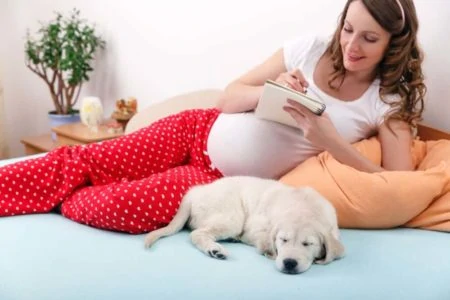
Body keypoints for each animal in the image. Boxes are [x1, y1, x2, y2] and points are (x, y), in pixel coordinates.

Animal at [144, 176, 344, 274]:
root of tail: (196, 191)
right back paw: (215, 250)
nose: (289, 263)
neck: (304, 207)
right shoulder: (256, 229)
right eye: (283, 240)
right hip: (231, 217)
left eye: (308, 244)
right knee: (197, 234)